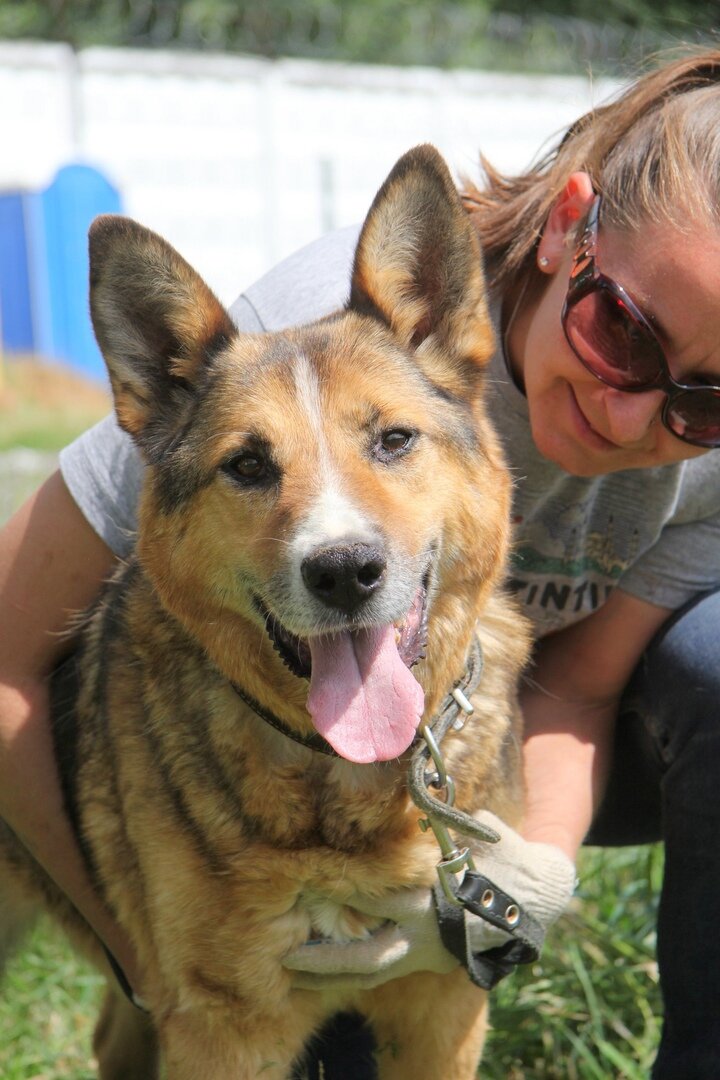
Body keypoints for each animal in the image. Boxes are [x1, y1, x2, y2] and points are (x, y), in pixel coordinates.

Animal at [0, 145, 528, 1080]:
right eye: (247, 465)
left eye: (394, 440)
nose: (345, 572)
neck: (339, 776)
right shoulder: (223, 1030)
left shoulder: (445, 1008)